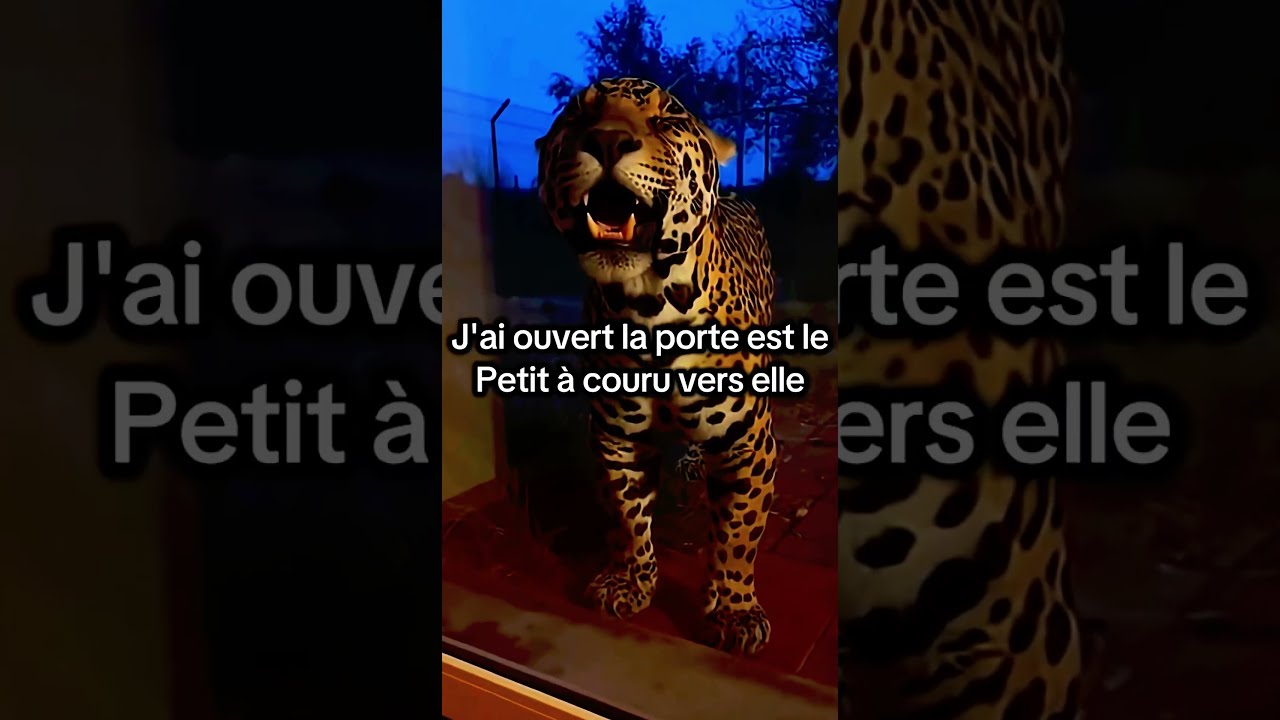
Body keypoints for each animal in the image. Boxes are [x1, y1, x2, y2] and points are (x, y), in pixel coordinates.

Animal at [534, 77, 778, 655]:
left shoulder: (749, 445)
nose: (605, 140)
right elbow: (627, 516)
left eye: (665, 119)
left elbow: (740, 535)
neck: (650, 308)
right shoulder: (617, 437)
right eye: (577, 115)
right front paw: (630, 580)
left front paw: (734, 608)